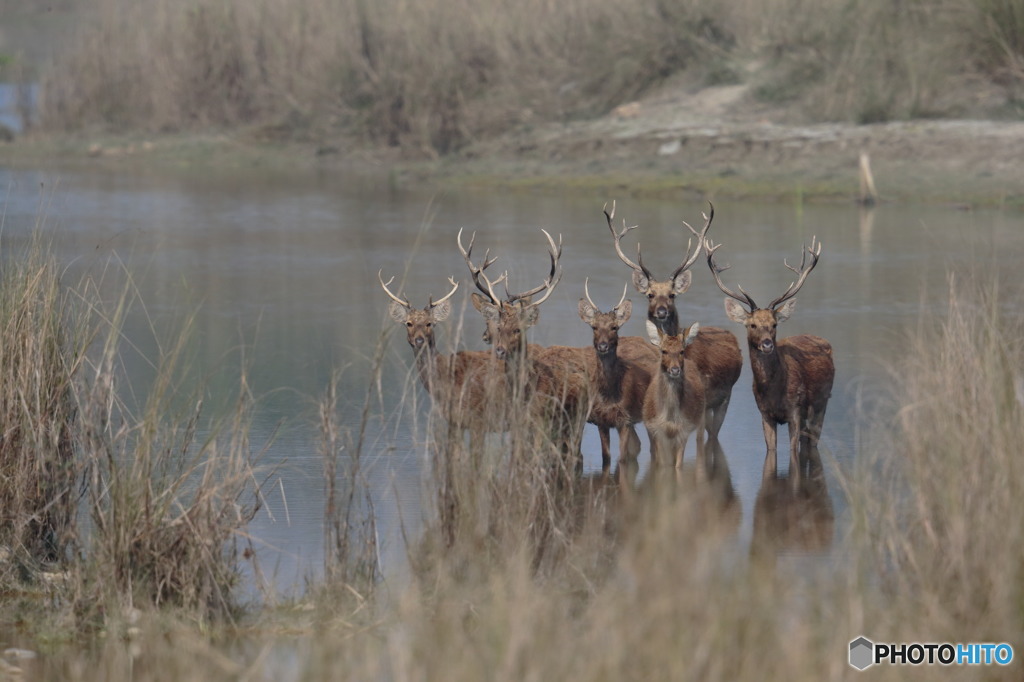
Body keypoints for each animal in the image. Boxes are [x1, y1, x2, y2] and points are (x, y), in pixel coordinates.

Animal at [577, 278, 655, 464]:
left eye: (614, 327)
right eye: (594, 327)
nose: (603, 346)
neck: (609, 396)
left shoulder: (625, 419)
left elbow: (622, 458)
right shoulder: (601, 420)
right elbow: (606, 457)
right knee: (639, 445)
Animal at [638, 319, 704, 466]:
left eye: (682, 351)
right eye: (664, 351)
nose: (675, 369)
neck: (670, 418)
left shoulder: (684, 429)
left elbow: (678, 465)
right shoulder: (657, 429)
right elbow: (663, 465)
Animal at [708, 236, 835, 481]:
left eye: (774, 324)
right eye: (752, 325)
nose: (766, 344)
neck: (775, 391)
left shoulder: (795, 410)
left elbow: (793, 452)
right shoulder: (764, 413)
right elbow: (772, 452)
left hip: (822, 402)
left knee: (812, 441)